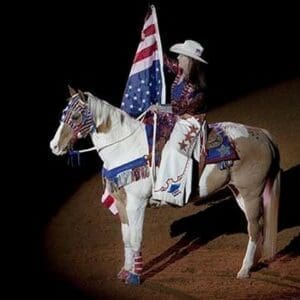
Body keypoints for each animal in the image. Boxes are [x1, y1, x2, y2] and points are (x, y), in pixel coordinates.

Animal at [49, 88, 282, 284]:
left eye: (76, 116)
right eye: (63, 114)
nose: (54, 146)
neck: (127, 147)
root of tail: (262, 134)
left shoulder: (136, 204)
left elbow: (136, 238)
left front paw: (135, 276)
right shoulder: (123, 204)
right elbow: (126, 238)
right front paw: (125, 271)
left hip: (251, 193)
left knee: (254, 228)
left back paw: (244, 270)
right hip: (239, 193)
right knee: (258, 226)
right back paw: (253, 263)